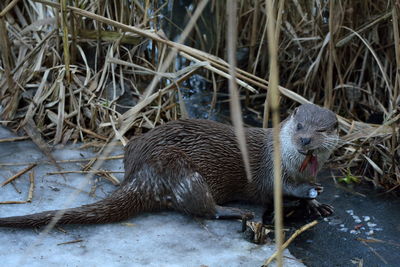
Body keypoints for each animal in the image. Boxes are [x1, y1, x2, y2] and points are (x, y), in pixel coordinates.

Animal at [0, 103, 338, 228]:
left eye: (322, 129)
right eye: (300, 126)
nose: (305, 140)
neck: (288, 162)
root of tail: (137, 174)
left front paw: (316, 204)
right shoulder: (271, 170)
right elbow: (276, 190)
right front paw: (307, 195)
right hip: (180, 169)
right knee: (201, 207)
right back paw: (235, 212)